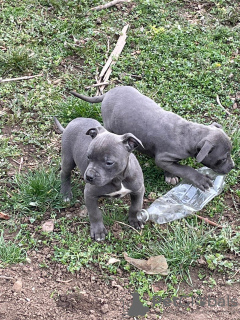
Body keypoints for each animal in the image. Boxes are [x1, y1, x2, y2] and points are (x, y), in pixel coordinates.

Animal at [71, 85, 234, 190]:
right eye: (222, 159)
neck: (189, 133)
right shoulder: (163, 159)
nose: (232, 167)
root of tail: (107, 93)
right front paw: (199, 178)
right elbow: (183, 168)